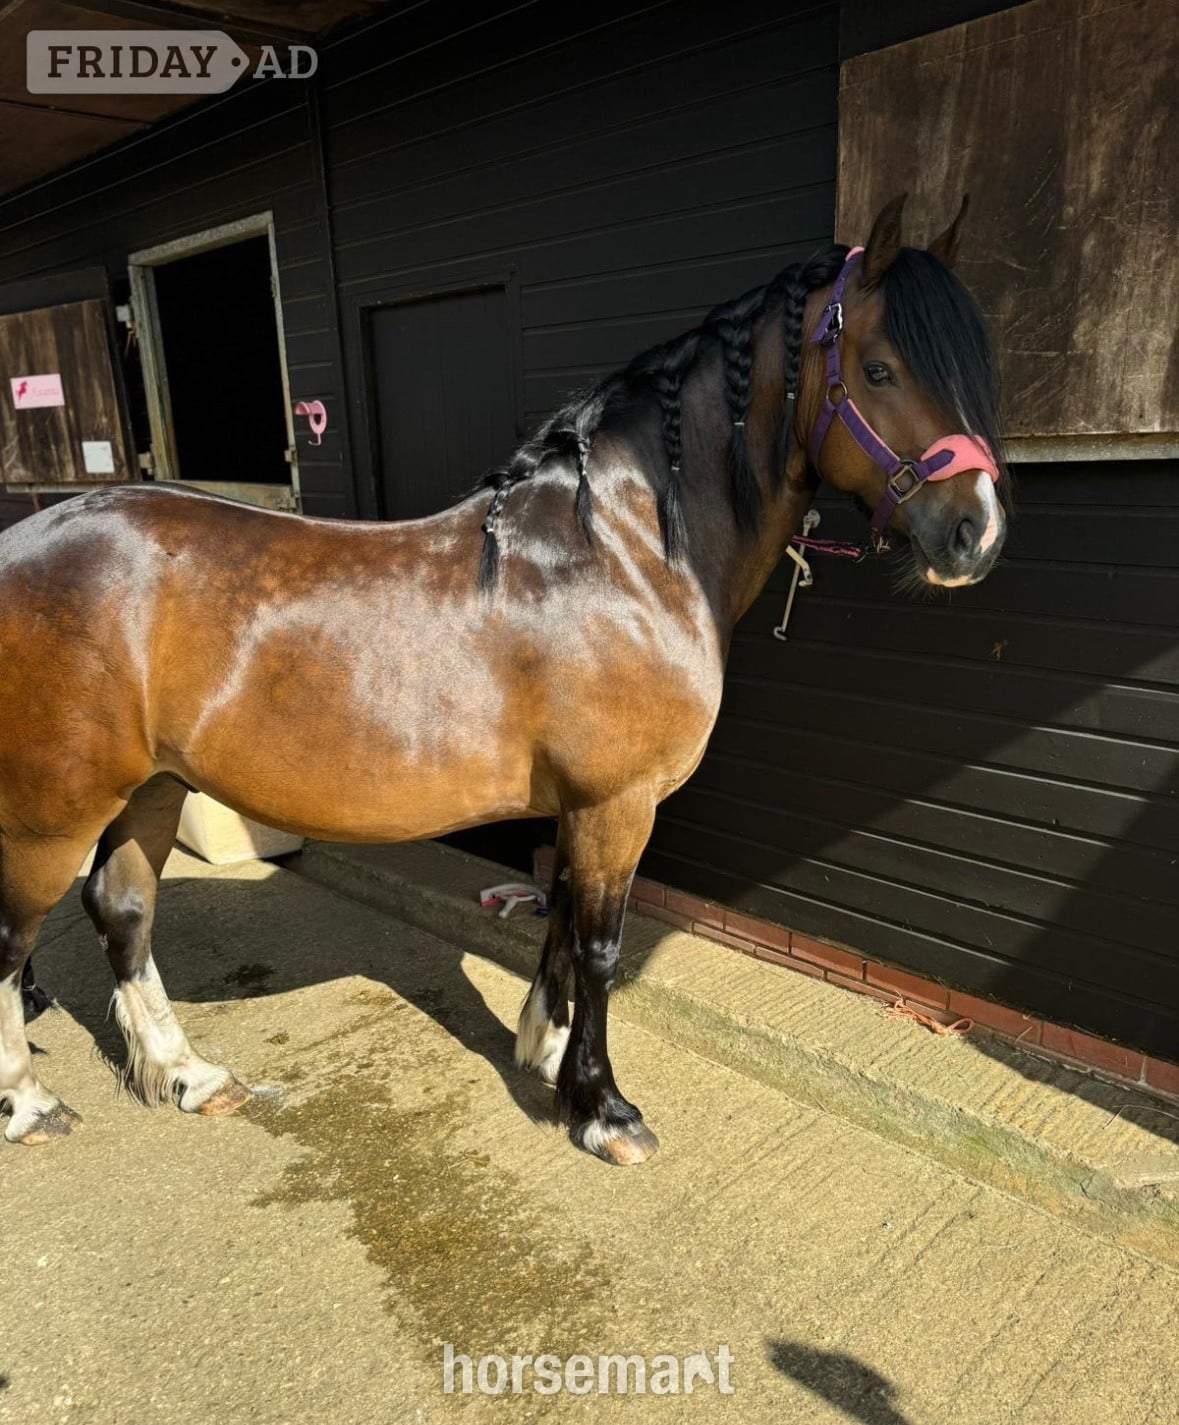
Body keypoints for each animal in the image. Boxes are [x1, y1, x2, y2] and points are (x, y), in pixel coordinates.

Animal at [0, 194, 1008, 1160]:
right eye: (878, 370)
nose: (977, 534)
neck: (621, 552)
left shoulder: (580, 805)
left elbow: (558, 917)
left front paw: (548, 1048)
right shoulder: (617, 801)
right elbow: (599, 945)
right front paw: (602, 1108)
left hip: (152, 786)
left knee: (123, 907)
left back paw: (187, 1073)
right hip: (55, 811)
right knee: (16, 937)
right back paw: (29, 1102)